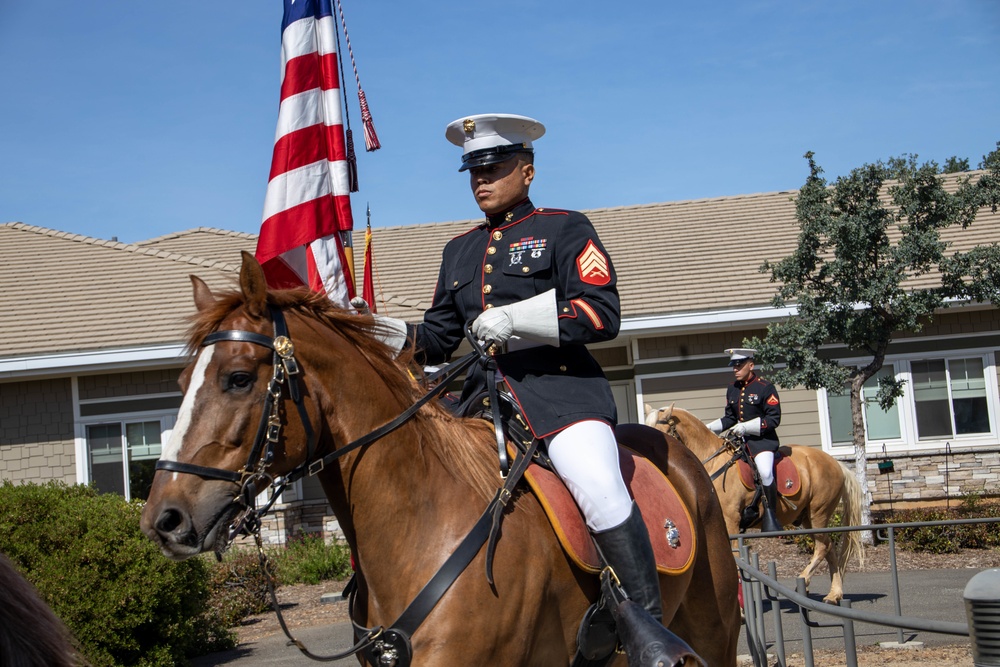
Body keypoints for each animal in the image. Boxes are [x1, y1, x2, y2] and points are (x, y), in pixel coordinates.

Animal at [644, 402, 864, 604]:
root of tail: (836, 463)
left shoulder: (730, 521)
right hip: (808, 519)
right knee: (829, 548)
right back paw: (834, 594)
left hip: (818, 513)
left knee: (822, 547)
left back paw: (805, 582)